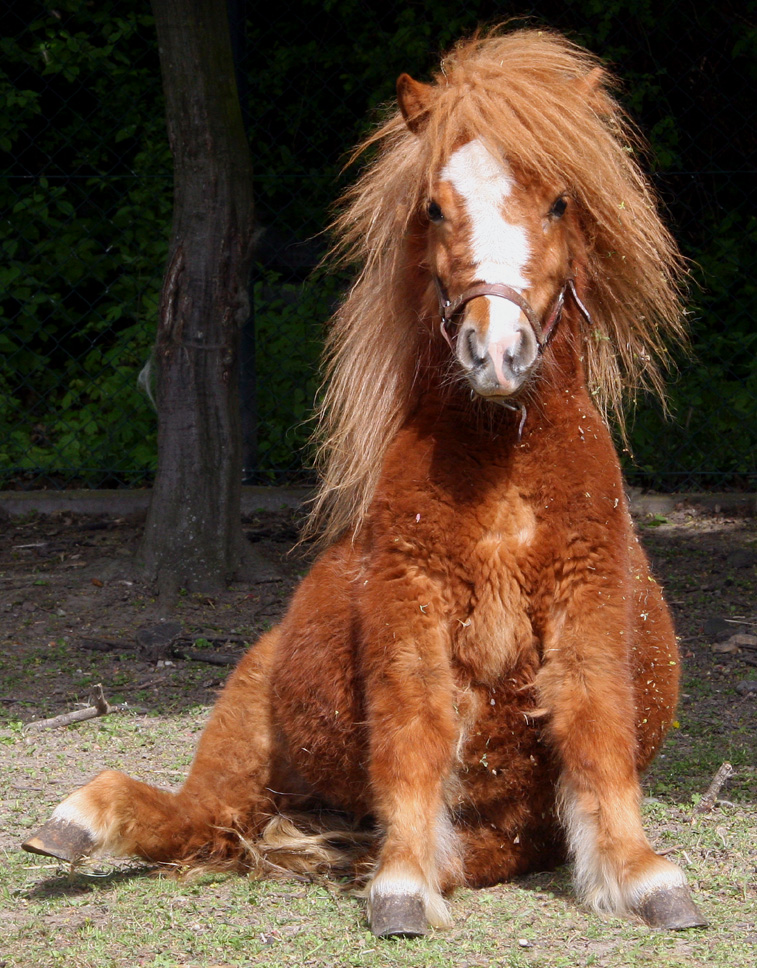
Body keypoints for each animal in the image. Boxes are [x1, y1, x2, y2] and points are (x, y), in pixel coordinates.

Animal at [26, 28, 704, 936]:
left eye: (560, 203)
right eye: (435, 209)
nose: (496, 353)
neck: (501, 463)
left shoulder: (587, 596)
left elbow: (594, 722)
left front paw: (638, 875)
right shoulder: (406, 600)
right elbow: (413, 728)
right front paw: (401, 883)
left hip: (493, 827)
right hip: (249, 729)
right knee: (197, 815)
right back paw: (79, 818)